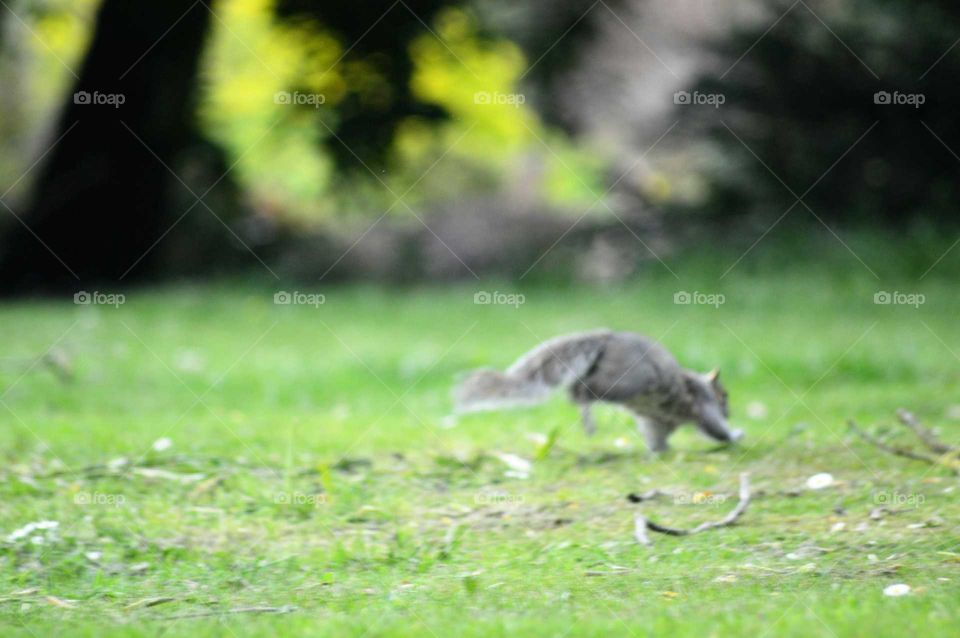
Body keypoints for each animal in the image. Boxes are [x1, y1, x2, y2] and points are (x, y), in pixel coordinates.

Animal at [456, 332, 744, 452]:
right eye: (725, 395)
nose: (730, 411)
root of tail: (608, 338)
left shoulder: (656, 420)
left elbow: (656, 436)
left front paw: (661, 450)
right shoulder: (703, 403)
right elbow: (715, 428)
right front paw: (736, 435)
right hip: (626, 383)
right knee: (580, 390)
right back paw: (588, 420)